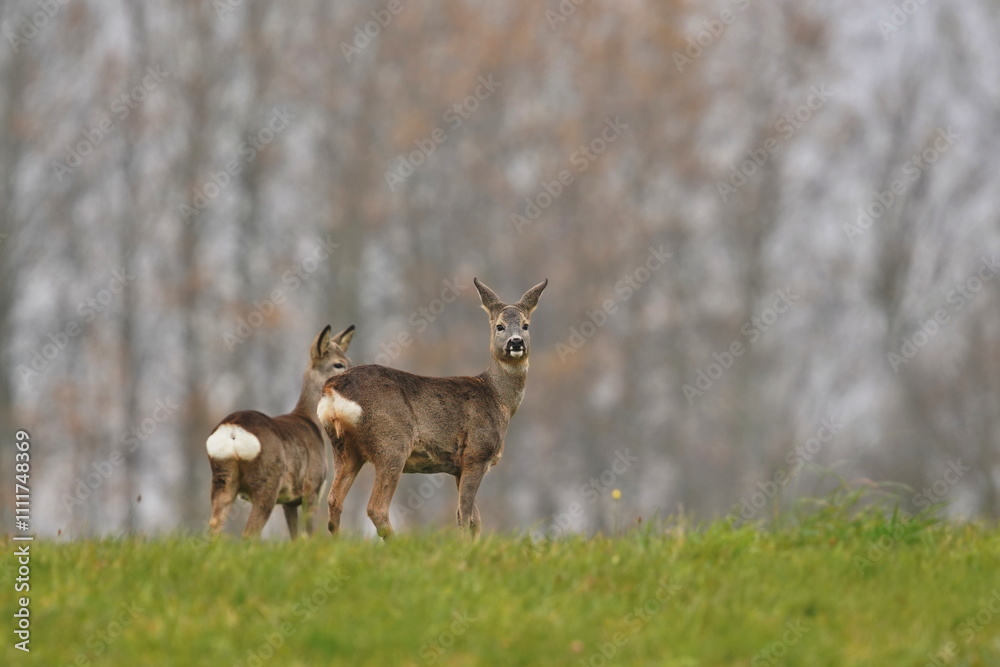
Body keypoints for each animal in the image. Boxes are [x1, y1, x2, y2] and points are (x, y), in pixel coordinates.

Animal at [206, 324, 355, 539]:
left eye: (349, 361)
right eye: (338, 364)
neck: (310, 420)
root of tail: (232, 431)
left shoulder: (289, 500)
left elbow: (294, 537)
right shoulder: (312, 486)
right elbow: (308, 535)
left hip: (222, 477)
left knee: (214, 527)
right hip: (267, 481)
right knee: (249, 532)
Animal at [318, 278, 547, 539]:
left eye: (526, 325)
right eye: (500, 326)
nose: (516, 342)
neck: (497, 397)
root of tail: (333, 389)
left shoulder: (458, 467)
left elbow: (475, 520)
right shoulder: (476, 454)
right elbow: (464, 516)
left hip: (344, 448)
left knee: (334, 501)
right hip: (392, 443)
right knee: (376, 507)